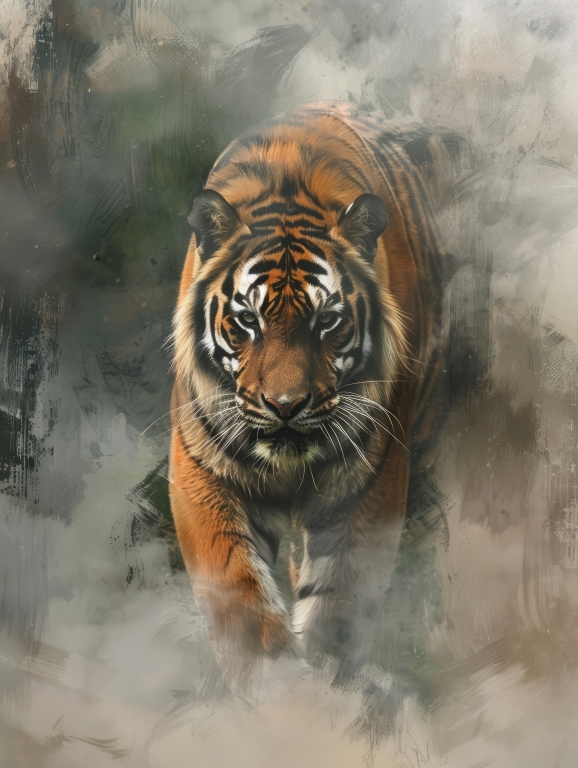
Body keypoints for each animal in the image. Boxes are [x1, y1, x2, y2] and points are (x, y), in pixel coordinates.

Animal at [169, 102, 450, 672]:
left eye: (327, 321)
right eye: (248, 320)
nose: (285, 405)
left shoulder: (371, 478)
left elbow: (337, 608)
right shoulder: (200, 469)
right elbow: (241, 601)